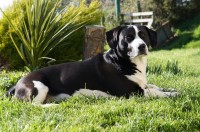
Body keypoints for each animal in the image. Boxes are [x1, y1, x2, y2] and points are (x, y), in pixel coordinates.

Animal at [5, 24, 178, 103]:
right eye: (128, 38)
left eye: (143, 35)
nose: (141, 46)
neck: (122, 62)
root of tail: (17, 83)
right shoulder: (132, 93)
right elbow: (156, 93)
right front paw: (172, 94)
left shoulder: (143, 85)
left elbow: (155, 87)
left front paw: (171, 89)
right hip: (39, 86)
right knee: (32, 105)